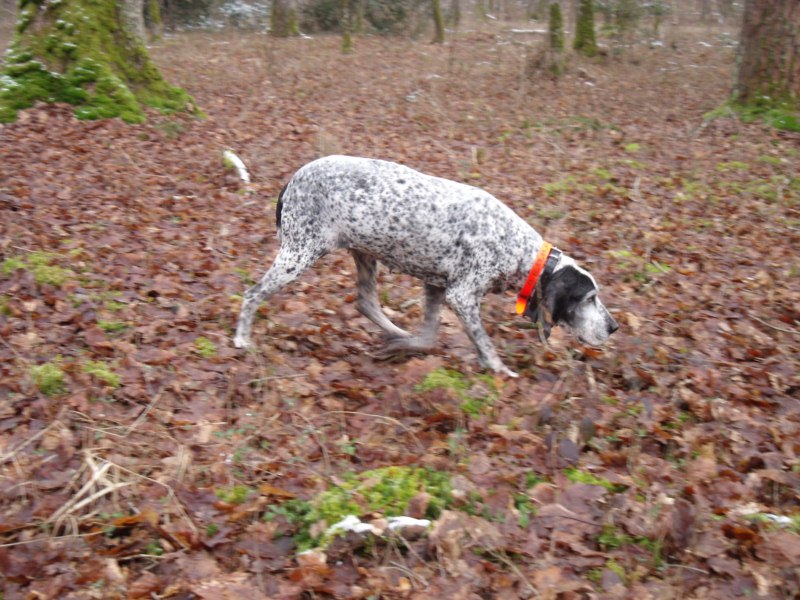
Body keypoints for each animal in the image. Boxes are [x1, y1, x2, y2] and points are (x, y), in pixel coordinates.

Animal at [231, 155, 620, 376]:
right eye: (589, 299)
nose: (614, 327)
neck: (517, 250)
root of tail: (292, 179)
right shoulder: (461, 295)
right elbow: (484, 343)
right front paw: (498, 369)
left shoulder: (435, 286)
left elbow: (429, 337)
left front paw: (405, 347)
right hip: (299, 254)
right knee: (252, 294)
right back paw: (241, 339)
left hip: (364, 253)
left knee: (366, 303)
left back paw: (396, 334)